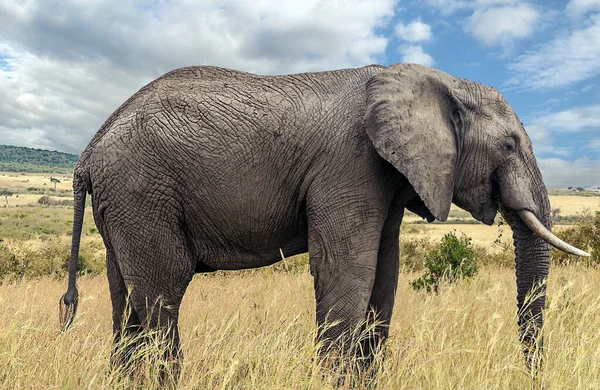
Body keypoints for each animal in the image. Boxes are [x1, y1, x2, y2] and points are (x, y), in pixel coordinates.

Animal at [59, 62, 584, 376]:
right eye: (510, 145)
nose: (532, 375)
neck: (438, 80)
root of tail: (89, 150)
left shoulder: (386, 179)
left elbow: (385, 277)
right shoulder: (350, 166)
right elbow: (348, 273)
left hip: (124, 206)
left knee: (126, 302)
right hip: (142, 192)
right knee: (163, 294)